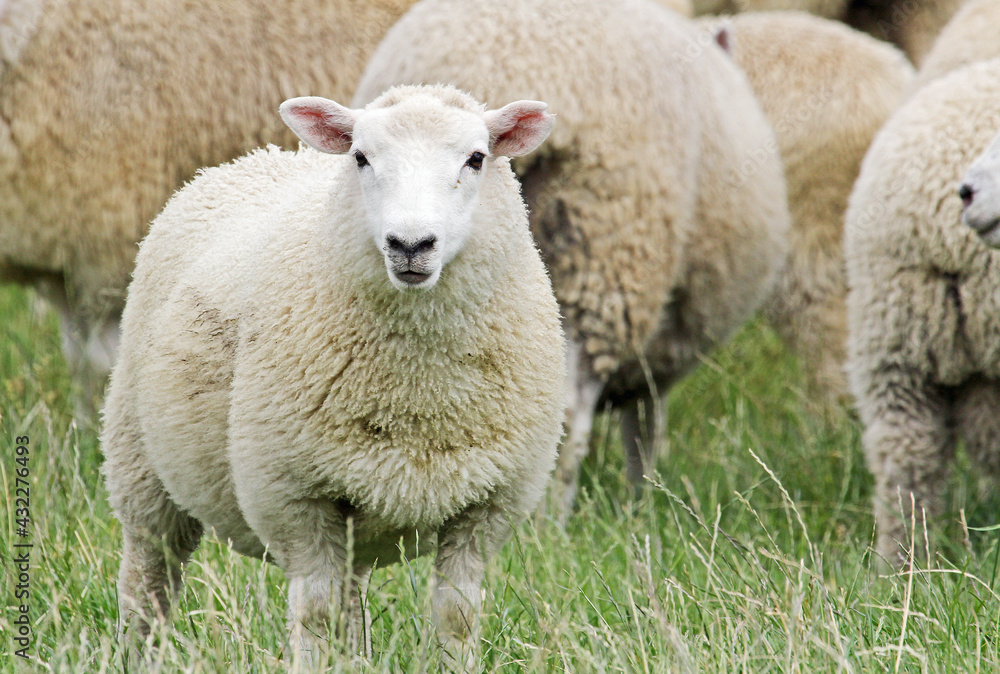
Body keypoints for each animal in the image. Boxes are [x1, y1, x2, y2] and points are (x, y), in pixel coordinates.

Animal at [103, 85, 572, 668]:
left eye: (476, 158)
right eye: (361, 157)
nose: (410, 245)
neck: (420, 391)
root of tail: (256, 157)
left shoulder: (491, 503)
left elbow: (457, 618)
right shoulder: (294, 495)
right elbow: (316, 616)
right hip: (138, 464)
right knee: (147, 584)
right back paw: (136, 652)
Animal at [356, 0, 792, 516]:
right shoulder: (656, 360)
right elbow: (645, 428)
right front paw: (642, 505)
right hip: (605, 249)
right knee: (566, 409)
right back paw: (546, 521)